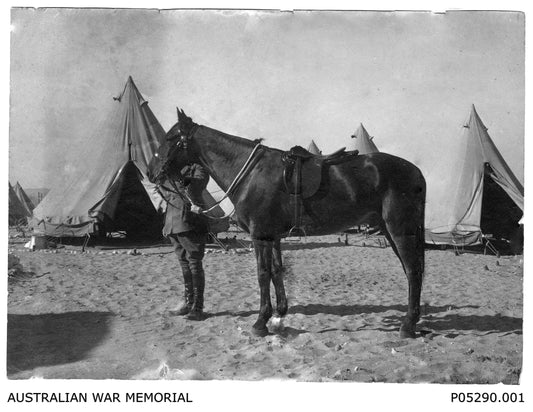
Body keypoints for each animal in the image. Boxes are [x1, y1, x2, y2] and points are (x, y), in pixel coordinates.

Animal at [148, 109, 426, 338]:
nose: (151, 172)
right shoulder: (273, 237)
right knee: (411, 270)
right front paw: (279, 313)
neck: (250, 173)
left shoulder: (260, 237)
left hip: (400, 231)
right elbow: (276, 271)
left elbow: (262, 274)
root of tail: (416, 172)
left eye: (171, 138)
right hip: (391, 231)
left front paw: (260, 322)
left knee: (413, 271)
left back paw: (407, 326)